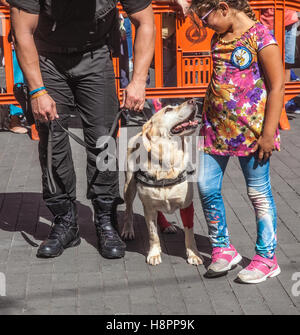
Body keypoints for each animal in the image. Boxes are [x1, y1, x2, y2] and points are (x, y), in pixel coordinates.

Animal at [122, 98, 204, 266]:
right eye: (168, 110)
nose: (193, 100)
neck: (167, 164)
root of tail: (139, 132)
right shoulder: (148, 207)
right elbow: (153, 234)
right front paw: (154, 253)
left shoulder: (187, 206)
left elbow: (190, 234)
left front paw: (193, 254)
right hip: (129, 187)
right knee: (128, 209)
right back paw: (127, 229)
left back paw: (166, 225)